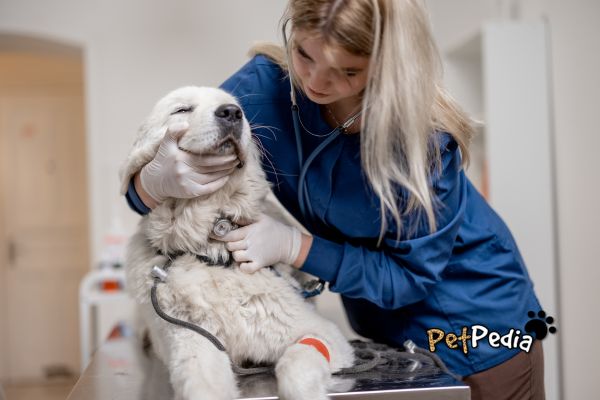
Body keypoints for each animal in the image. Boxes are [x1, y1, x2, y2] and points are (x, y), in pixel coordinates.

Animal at [121, 86, 354, 400]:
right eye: (182, 110)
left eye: (235, 106)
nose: (231, 112)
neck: (212, 249)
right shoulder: (194, 341)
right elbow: (202, 388)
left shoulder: (322, 334)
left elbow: (296, 367)